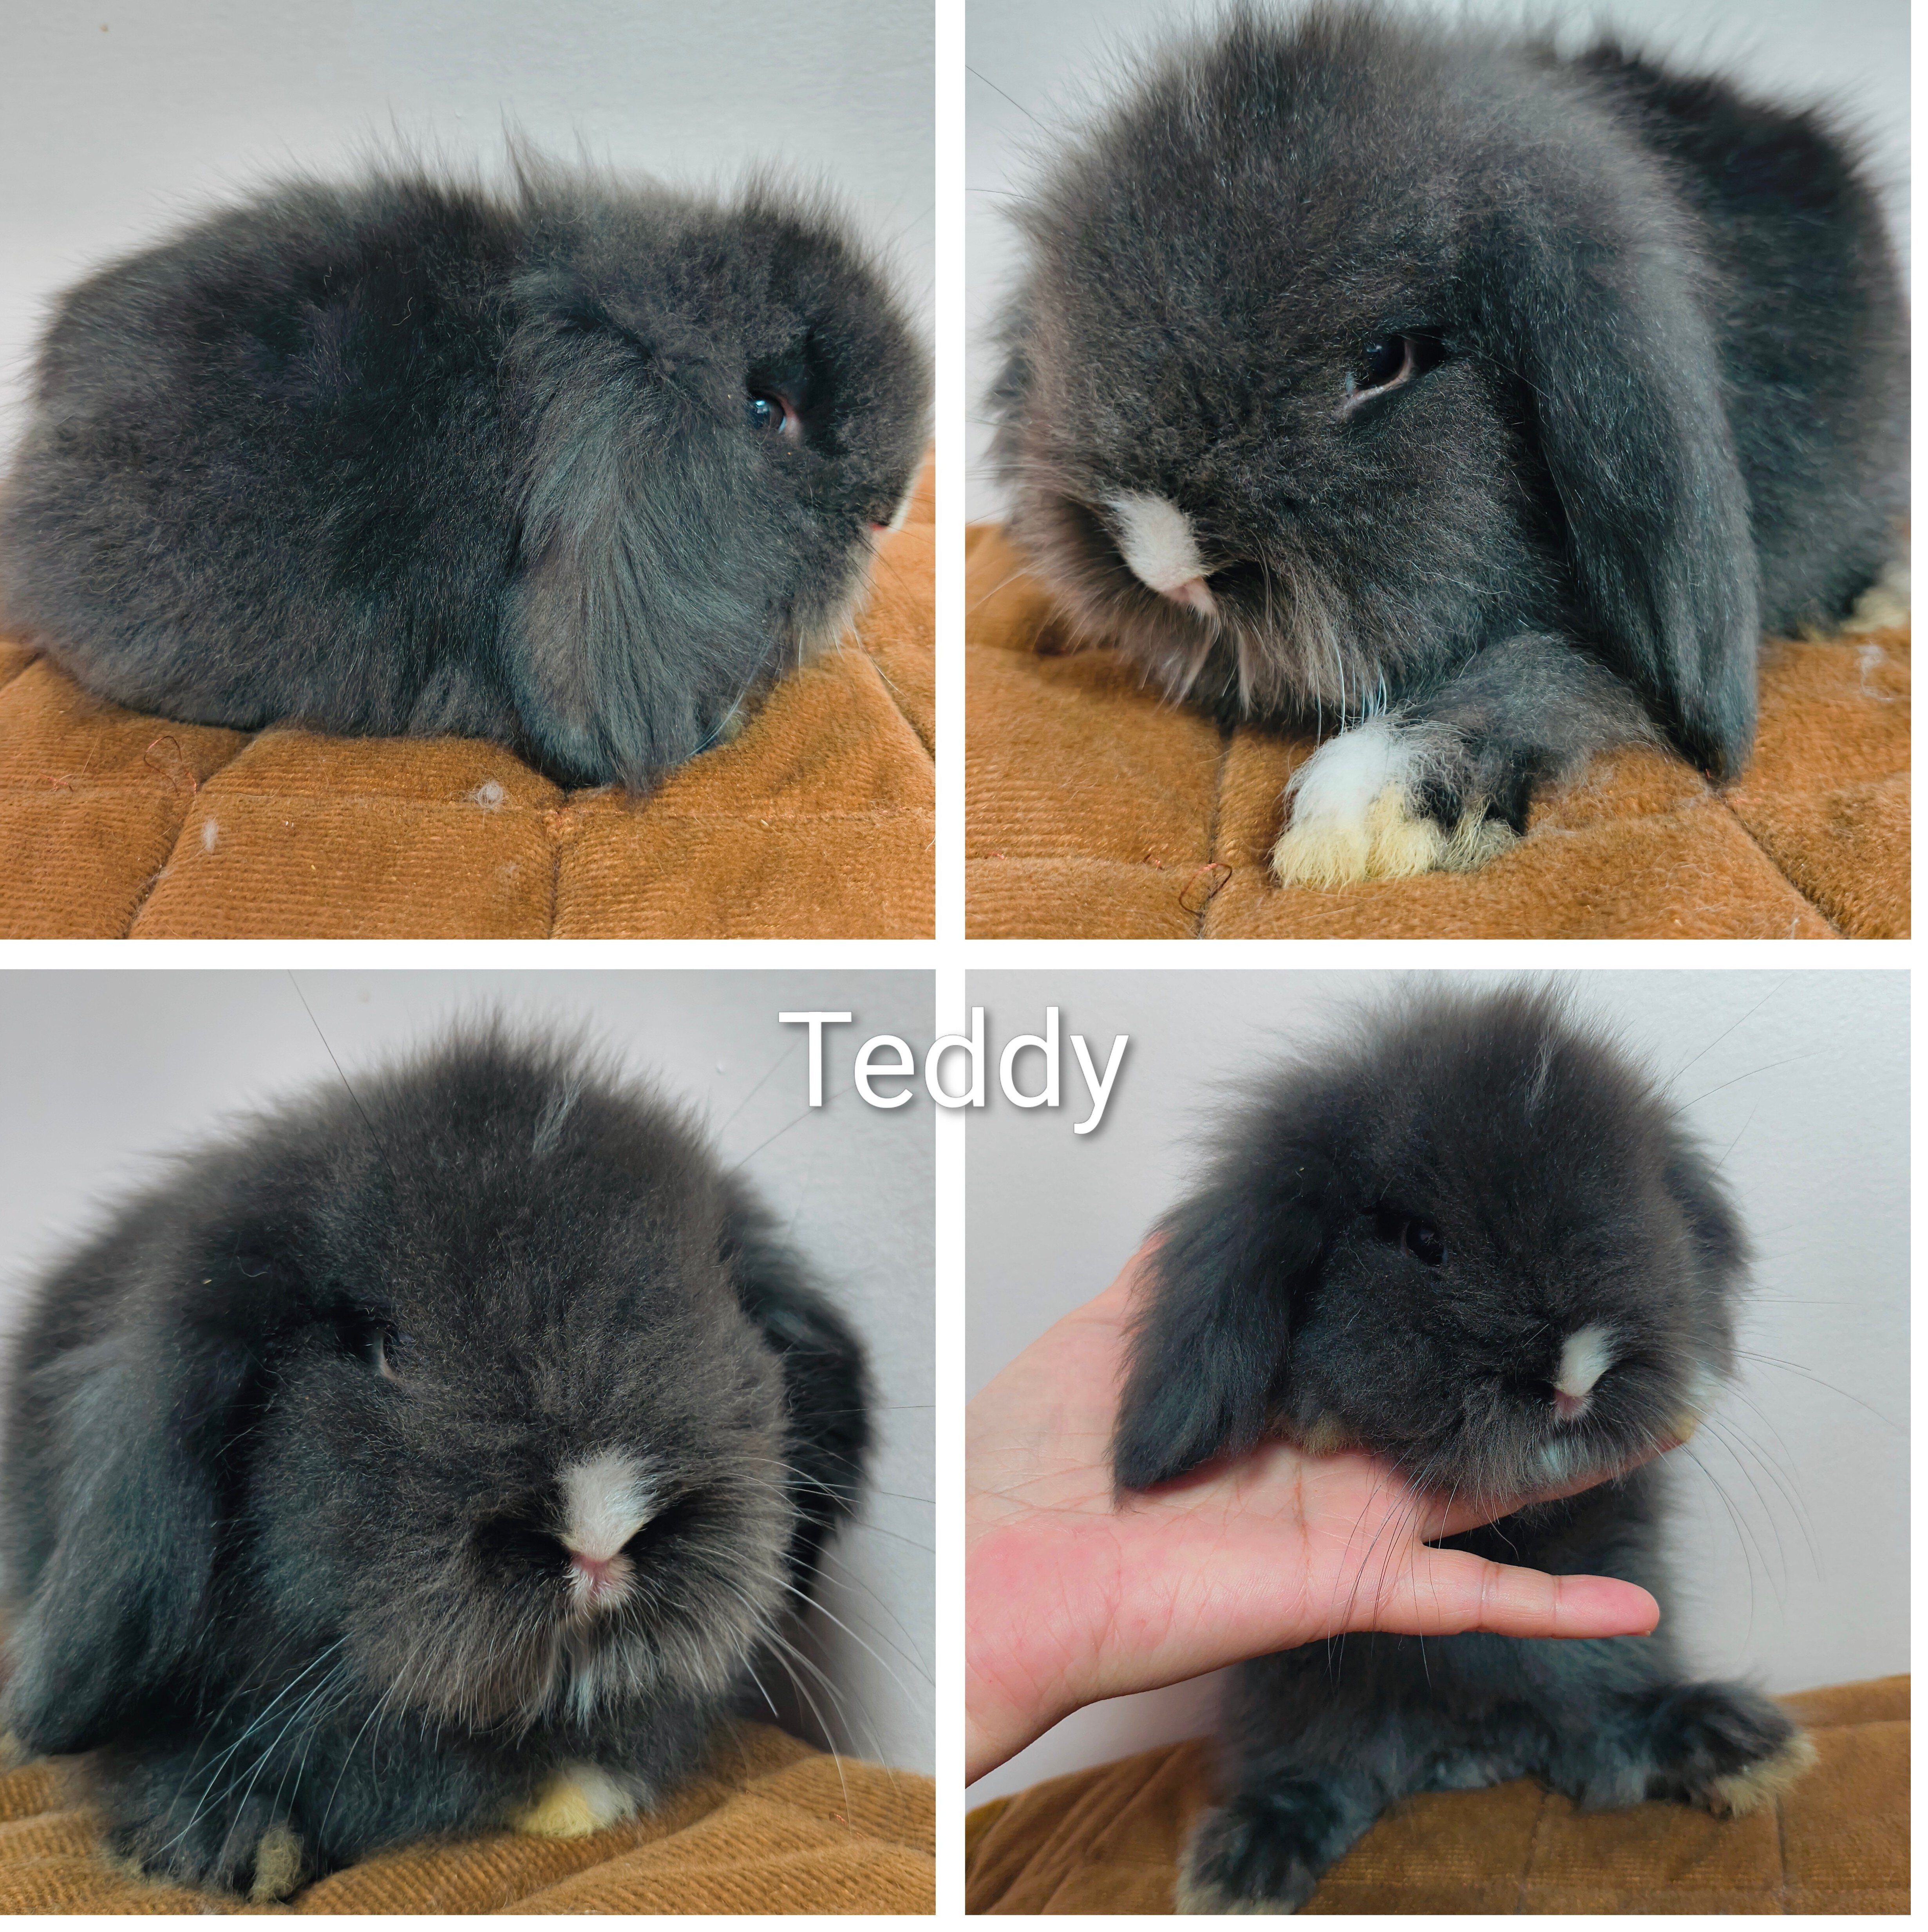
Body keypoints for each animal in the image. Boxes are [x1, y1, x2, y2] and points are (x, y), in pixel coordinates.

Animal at [1110, 983, 1813, 1914]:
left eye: (1650, 1205)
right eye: (1423, 1242)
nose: (1577, 1372)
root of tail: (1470, 1748)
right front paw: (1313, 1415)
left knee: (1606, 1729)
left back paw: (1732, 1743)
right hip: (1300, 1694)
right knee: (1319, 1774)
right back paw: (1248, 1865)